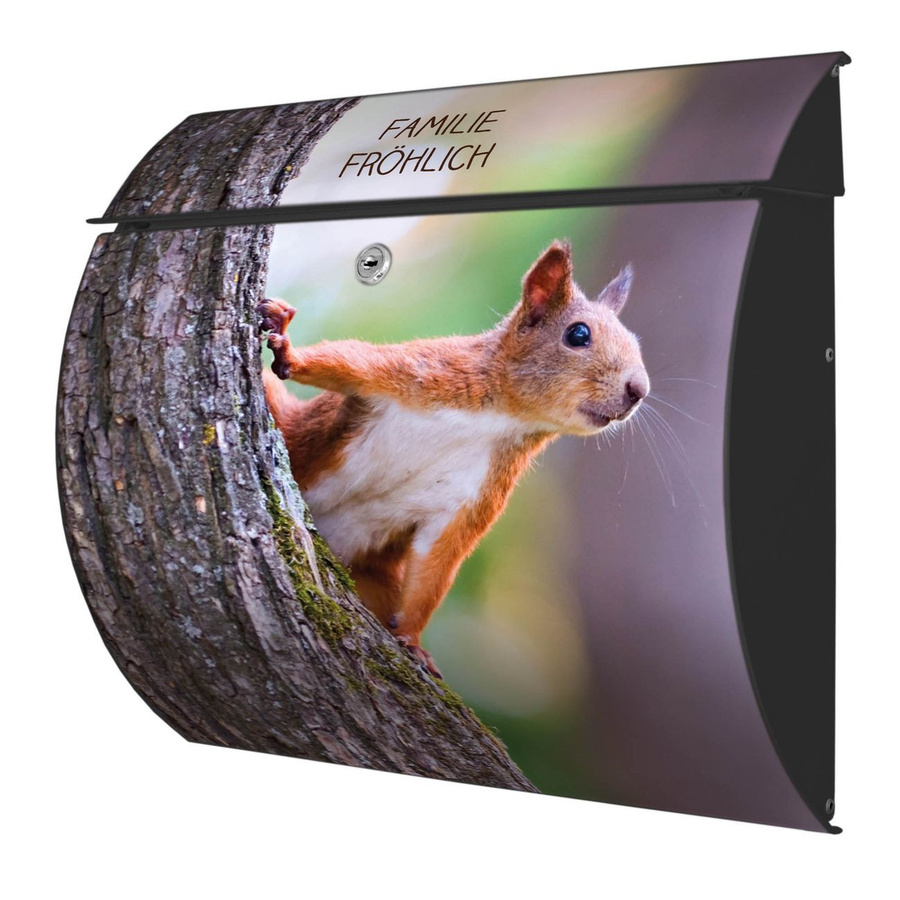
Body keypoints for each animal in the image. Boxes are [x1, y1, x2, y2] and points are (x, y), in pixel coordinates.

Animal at [258, 240, 649, 677]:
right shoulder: (423, 371)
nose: (639, 390)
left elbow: (438, 560)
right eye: (578, 334)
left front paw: (412, 640)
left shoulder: (477, 491)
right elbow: (348, 362)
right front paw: (289, 351)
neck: (501, 417)